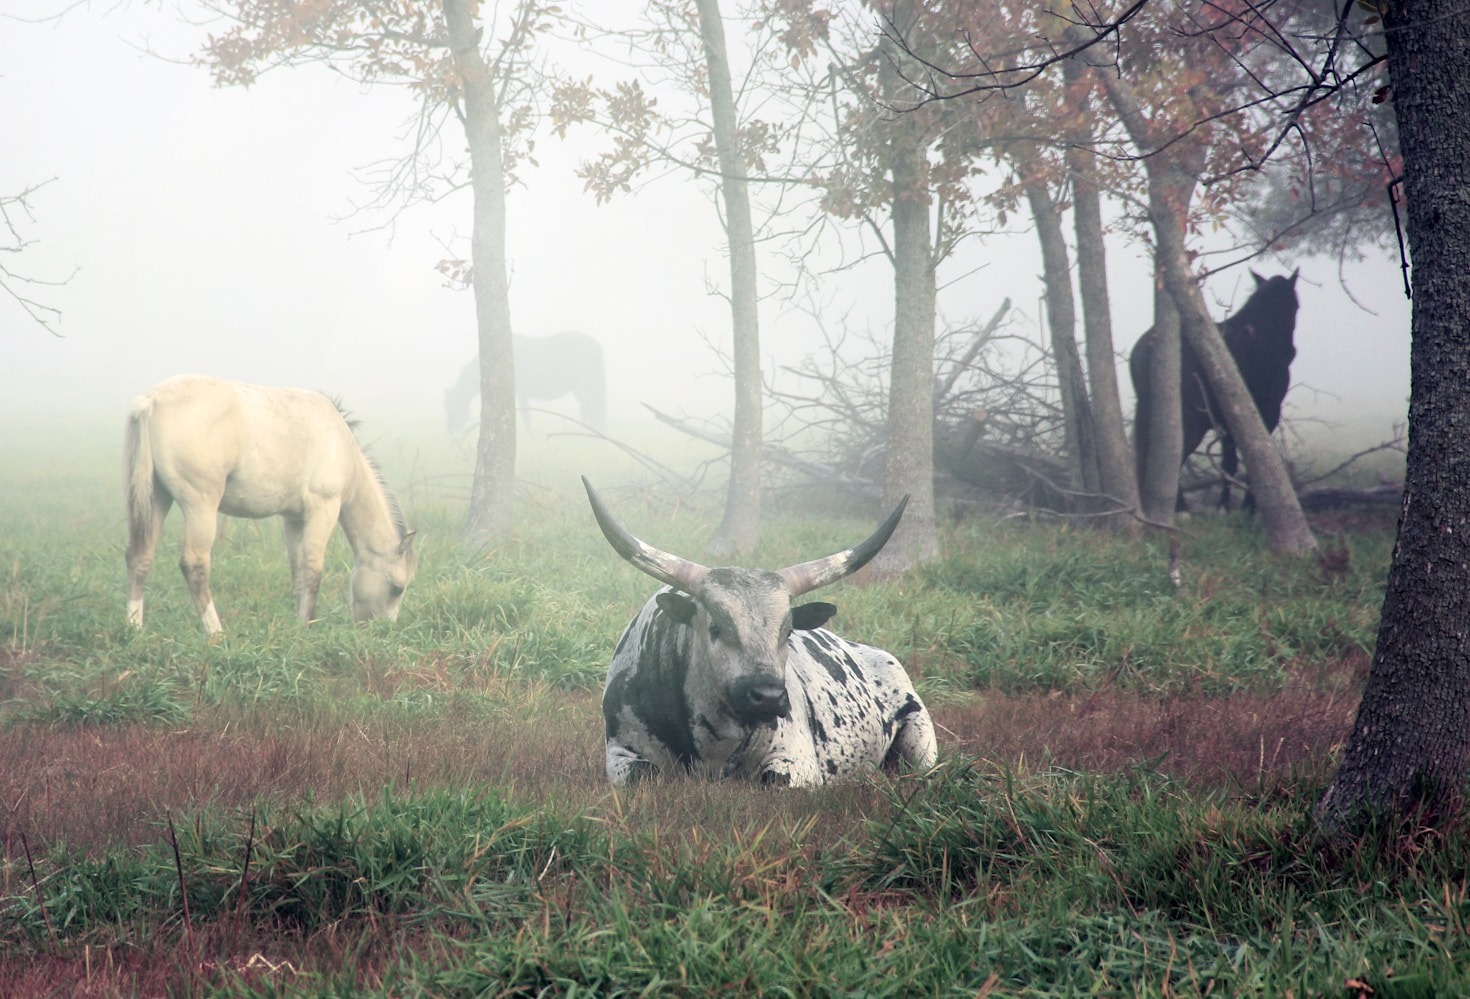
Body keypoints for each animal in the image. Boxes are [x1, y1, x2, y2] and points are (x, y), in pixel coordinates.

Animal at [583, 478, 938, 787]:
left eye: (789, 630)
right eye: (716, 626)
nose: (767, 695)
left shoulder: (798, 761)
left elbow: (773, 780)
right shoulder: (620, 753)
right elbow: (644, 774)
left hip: (922, 739)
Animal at [1129, 269, 1301, 511]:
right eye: (1295, 305)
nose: (1291, 351)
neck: (1263, 332)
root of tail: (1140, 353)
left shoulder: (1228, 419)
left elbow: (1229, 462)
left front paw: (1225, 507)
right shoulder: (1268, 410)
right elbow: (1259, 457)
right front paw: (1248, 507)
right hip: (1192, 418)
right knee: (1172, 456)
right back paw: (1179, 508)